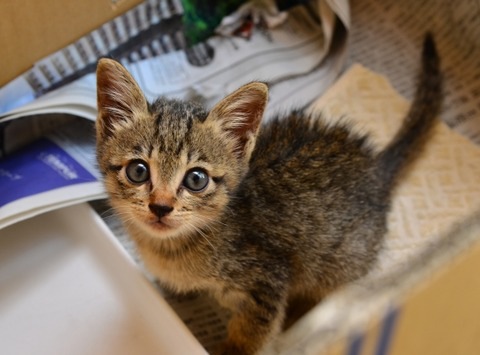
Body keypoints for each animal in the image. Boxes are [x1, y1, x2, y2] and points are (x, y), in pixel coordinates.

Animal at [94, 34, 442, 355]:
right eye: (138, 171)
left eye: (196, 179)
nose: (161, 206)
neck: (172, 248)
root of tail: (375, 169)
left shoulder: (268, 280)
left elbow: (251, 333)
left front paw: (231, 350)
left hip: (340, 262)